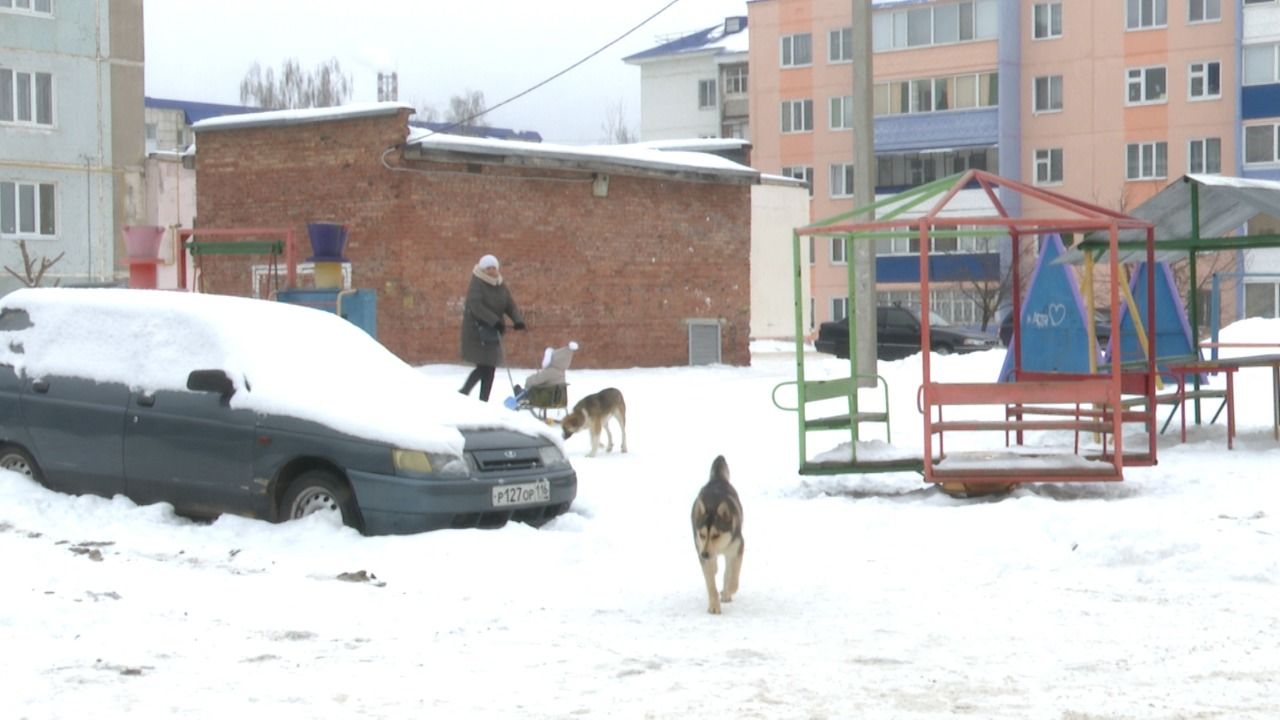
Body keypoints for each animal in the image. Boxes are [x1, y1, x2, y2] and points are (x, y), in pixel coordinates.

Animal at [696, 453, 747, 609]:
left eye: (716, 535)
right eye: (702, 535)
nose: (705, 554)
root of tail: (717, 479)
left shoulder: (737, 548)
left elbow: (733, 579)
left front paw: (727, 592)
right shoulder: (701, 549)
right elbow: (710, 583)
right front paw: (713, 606)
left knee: (728, 572)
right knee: (715, 568)